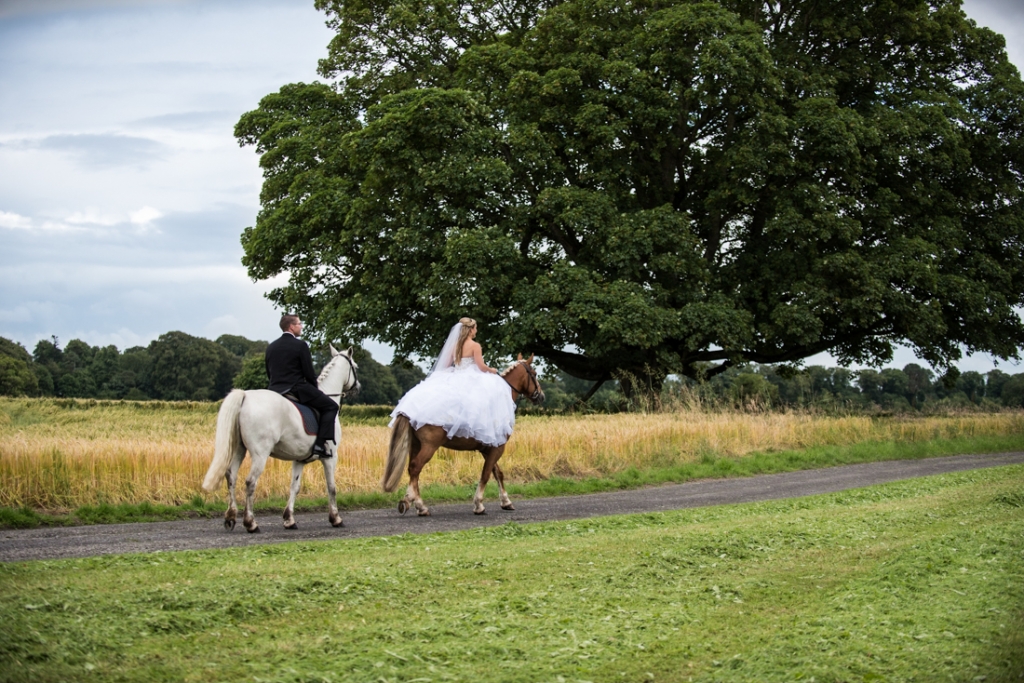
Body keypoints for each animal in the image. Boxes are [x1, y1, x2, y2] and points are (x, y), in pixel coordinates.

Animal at [200, 344, 360, 532]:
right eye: (355, 367)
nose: (358, 387)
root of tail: (245, 397)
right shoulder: (331, 457)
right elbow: (332, 487)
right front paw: (335, 518)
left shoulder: (299, 460)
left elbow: (294, 487)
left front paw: (289, 519)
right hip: (260, 454)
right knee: (250, 482)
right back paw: (251, 523)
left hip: (240, 449)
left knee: (231, 476)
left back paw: (231, 517)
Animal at [382, 356, 544, 516]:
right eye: (534, 374)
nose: (541, 396)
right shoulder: (498, 448)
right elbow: (486, 474)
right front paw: (479, 504)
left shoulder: (488, 449)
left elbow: (498, 473)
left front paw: (506, 502)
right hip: (429, 446)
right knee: (416, 467)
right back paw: (420, 506)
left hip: (415, 445)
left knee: (412, 470)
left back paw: (410, 500)